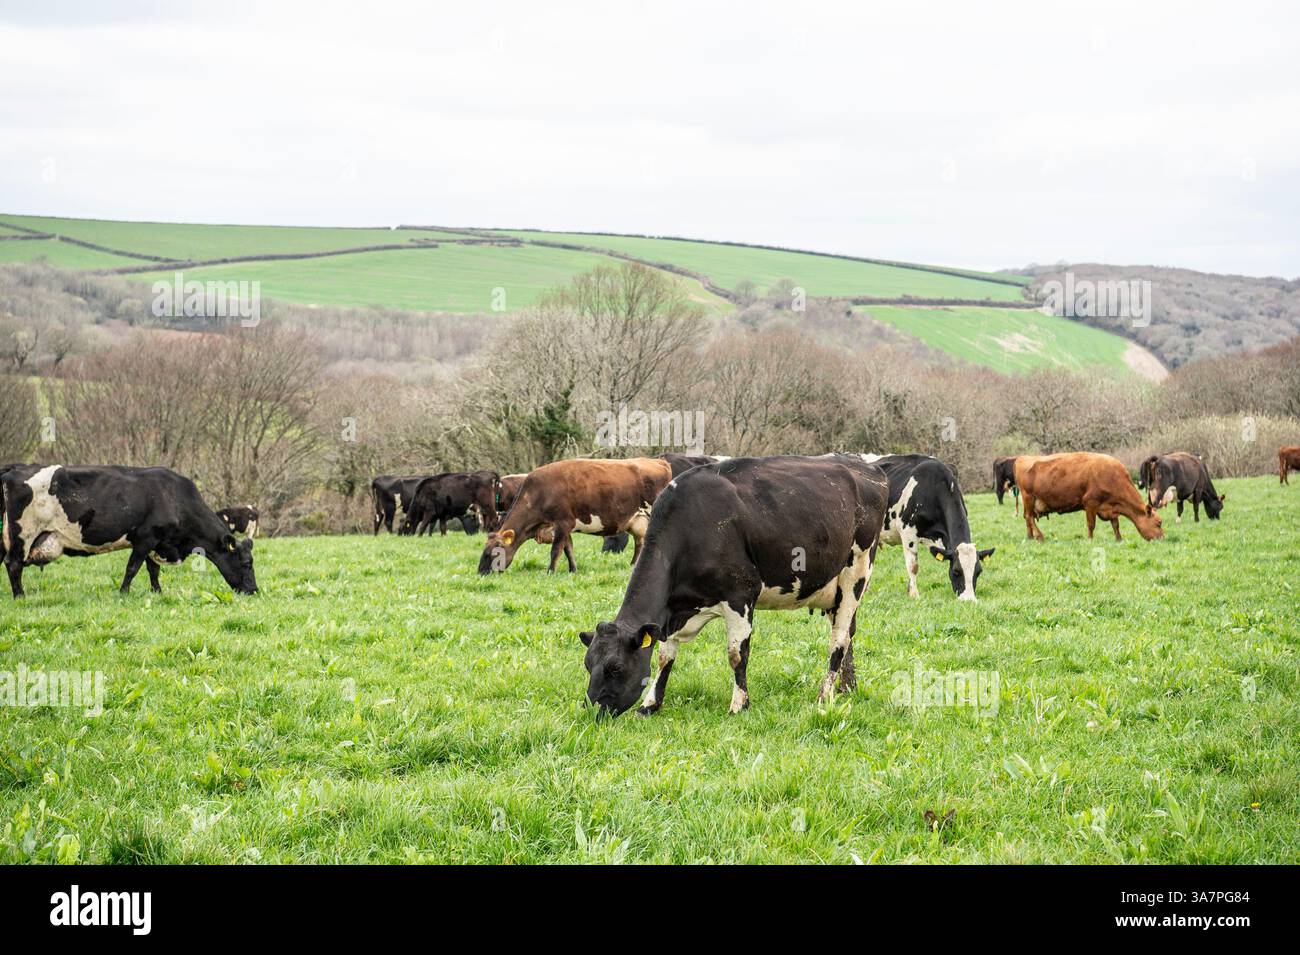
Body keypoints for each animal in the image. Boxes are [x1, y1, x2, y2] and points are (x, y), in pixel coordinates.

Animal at [2, 464, 257, 598]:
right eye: (246, 563)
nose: (254, 590)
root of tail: (17, 468)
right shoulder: (145, 538)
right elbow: (133, 568)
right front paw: (124, 593)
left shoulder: (158, 542)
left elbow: (153, 570)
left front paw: (157, 592)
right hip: (23, 534)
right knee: (14, 564)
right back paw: (20, 596)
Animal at [478, 457, 671, 574]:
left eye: (491, 553)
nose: (480, 573)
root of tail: (657, 460)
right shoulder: (565, 527)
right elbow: (568, 549)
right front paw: (573, 570)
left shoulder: (563, 523)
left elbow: (556, 550)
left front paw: (550, 571)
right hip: (637, 521)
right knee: (640, 543)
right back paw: (633, 565)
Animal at [578, 455, 889, 717]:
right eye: (588, 664)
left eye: (615, 668)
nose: (593, 711)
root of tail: (867, 468)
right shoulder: (673, 613)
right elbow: (665, 657)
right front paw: (650, 704)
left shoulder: (741, 595)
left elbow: (737, 654)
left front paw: (739, 705)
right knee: (849, 634)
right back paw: (846, 687)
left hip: (856, 573)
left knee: (839, 640)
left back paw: (825, 695)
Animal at [834, 453, 993, 601]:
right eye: (956, 571)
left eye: (978, 572)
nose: (969, 600)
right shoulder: (908, 532)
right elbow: (913, 566)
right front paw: (913, 594)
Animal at [1015, 452, 1163, 541]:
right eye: (1159, 522)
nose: (1162, 537)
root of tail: (1021, 458)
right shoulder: (1090, 503)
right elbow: (1091, 524)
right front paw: (1090, 540)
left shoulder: (1112, 508)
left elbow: (1115, 524)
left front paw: (1119, 539)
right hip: (1028, 496)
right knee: (1029, 517)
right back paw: (1039, 536)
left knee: (1027, 518)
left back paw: (1029, 537)